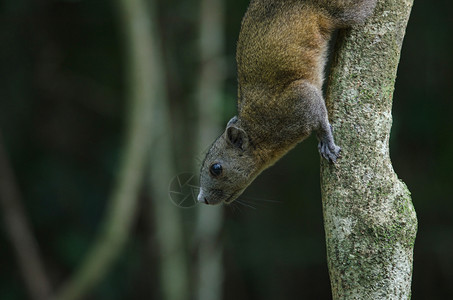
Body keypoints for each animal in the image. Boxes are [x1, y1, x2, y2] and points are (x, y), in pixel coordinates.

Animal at [196, 0, 376, 204]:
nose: (201, 199)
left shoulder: (298, 98)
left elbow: (319, 117)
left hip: (343, 10)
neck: (259, 131)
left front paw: (326, 142)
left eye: (216, 168)